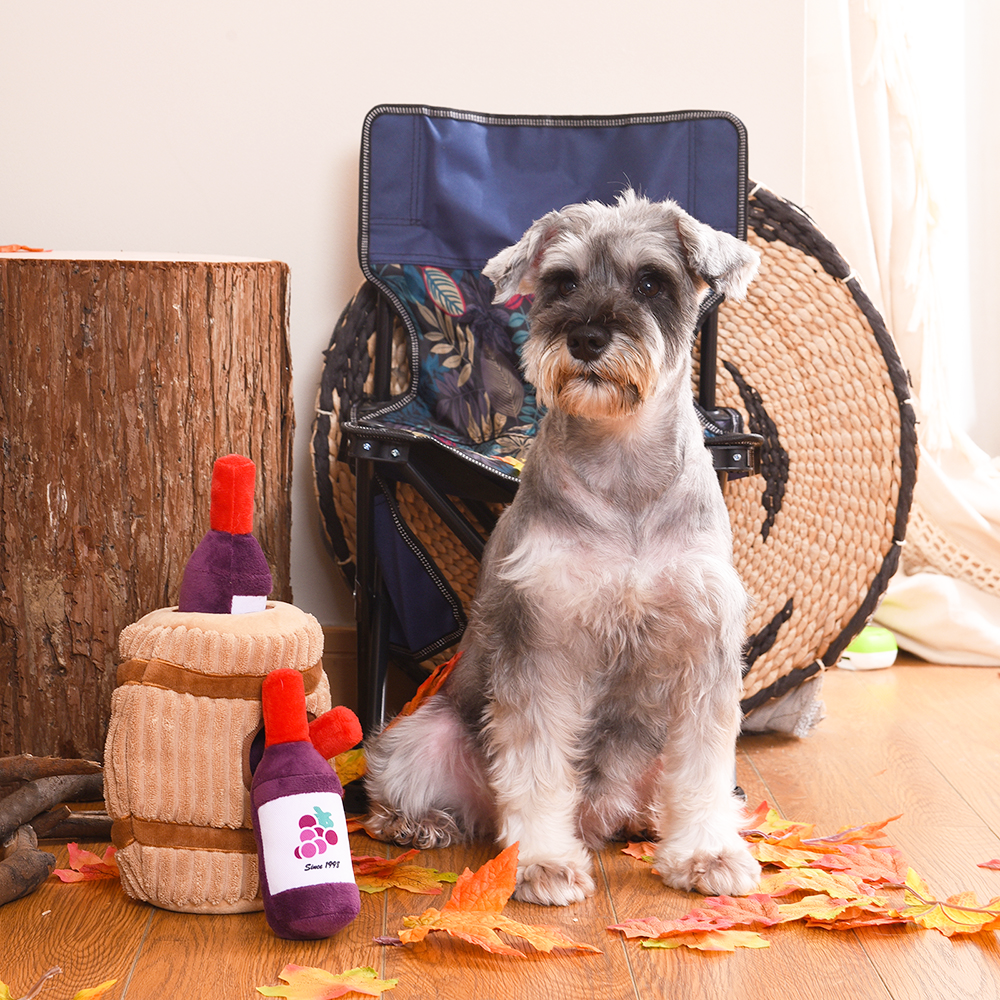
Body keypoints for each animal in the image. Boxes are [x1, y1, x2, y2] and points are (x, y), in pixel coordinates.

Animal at [364, 188, 760, 908]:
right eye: (562, 282)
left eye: (652, 280)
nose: (586, 337)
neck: (624, 468)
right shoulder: (543, 640)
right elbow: (537, 762)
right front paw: (542, 863)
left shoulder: (704, 648)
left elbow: (703, 765)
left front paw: (707, 854)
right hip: (421, 735)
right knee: (411, 792)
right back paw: (420, 824)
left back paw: (645, 820)